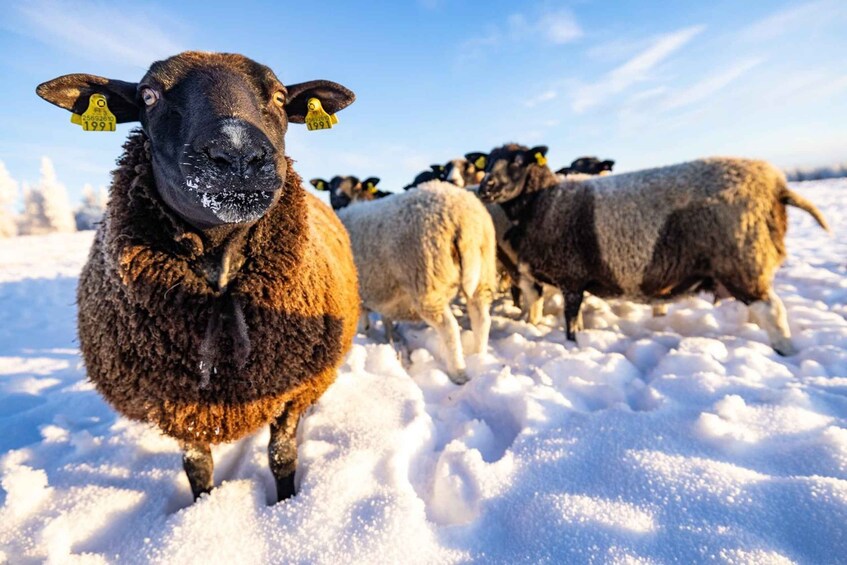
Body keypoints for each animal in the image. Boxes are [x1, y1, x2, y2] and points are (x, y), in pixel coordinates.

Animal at [36, 52, 360, 502]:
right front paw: (203, 507)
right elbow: (197, 467)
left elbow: (281, 456)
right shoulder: (176, 402)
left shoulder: (292, 390)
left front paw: (287, 504)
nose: (239, 156)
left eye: (280, 96)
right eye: (149, 96)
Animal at [336, 180, 497, 383]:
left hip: (426, 278)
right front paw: (389, 338)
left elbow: (363, 324)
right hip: (484, 271)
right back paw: (479, 357)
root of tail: (464, 218)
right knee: (481, 319)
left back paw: (458, 372)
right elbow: (385, 318)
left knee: (449, 327)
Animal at [477, 144, 830, 355]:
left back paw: (786, 351)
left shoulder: (571, 276)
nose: (485, 187)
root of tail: (775, 184)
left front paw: (573, 345)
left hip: (742, 259)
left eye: (518, 161)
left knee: (773, 310)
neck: (547, 201)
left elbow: (571, 322)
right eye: (488, 162)